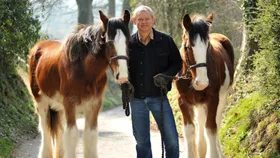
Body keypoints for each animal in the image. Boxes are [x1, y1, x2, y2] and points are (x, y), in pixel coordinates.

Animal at [27, 10, 131, 157]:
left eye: (128, 41)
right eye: (109, 42)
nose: (122, 75)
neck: (84, 71)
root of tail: (37, 48)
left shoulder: (94, 105)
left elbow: (90, 134)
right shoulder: (70, 104)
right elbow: (72, 134)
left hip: (59, 106)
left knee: (59, 130)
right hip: (41, 101)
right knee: (45, 129)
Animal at [175, 12, 234, 157]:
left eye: (208, 47)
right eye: (188, 46)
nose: (202, 82)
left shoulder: (213, 98)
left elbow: (211, 128)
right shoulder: (183, 100)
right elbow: (189, 130)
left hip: (222, 97)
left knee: (216, 121)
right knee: (201, 121)